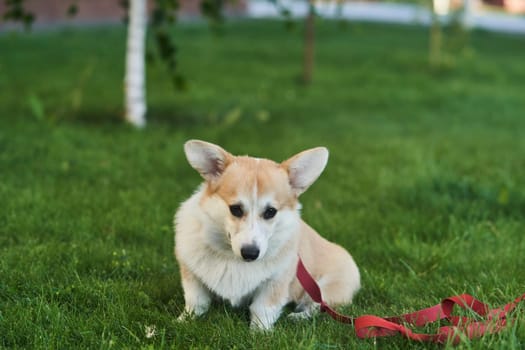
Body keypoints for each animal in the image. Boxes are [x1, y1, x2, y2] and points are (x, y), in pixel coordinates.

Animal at [174, 140, 358, 330]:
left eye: (271, 212)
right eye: (235, 209)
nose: (250, 253)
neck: (231, 258)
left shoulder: (276, 281)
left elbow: (262, 308)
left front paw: (259, 332)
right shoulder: (191, 275)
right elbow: (196, 301)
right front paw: (184, 321)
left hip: (326, 288)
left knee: (317, 306)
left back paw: (297, 317)